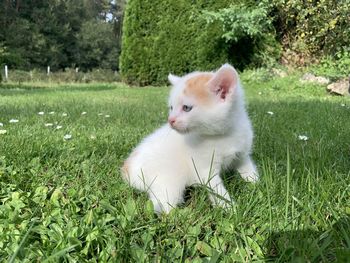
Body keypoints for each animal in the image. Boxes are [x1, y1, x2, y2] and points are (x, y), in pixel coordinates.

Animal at [121, 64, 258, 214]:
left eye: (186, 108)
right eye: (171, 107)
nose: (170, 120)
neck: (224, 135)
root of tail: (128, 169)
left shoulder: (242, 154)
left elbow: (248, 168)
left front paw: (255, 184)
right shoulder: (204, 169)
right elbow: (217, 190)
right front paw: (231, 208)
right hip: (168, 179)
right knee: (163, 203)